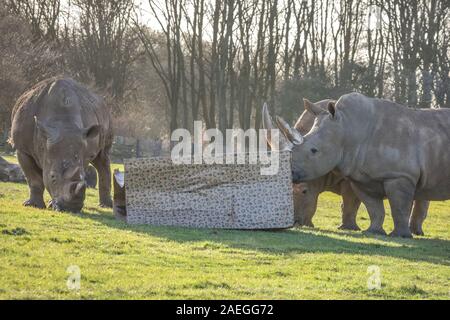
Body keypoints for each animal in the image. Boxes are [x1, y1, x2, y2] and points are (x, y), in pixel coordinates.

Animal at [9, 78, 113, 212]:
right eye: (52, 177)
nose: (71, 208)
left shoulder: (82, 148)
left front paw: (49, 204)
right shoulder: (22, 149)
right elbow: (34, 179)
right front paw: (33, 205)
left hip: (106, 116)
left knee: (103, 156)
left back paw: (106, 205)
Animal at [274, 92, 440, 238]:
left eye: (305, 191)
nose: (295, 223)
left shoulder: (351, 173)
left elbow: (350, 201)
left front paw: (348, 228)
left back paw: (416, 232)